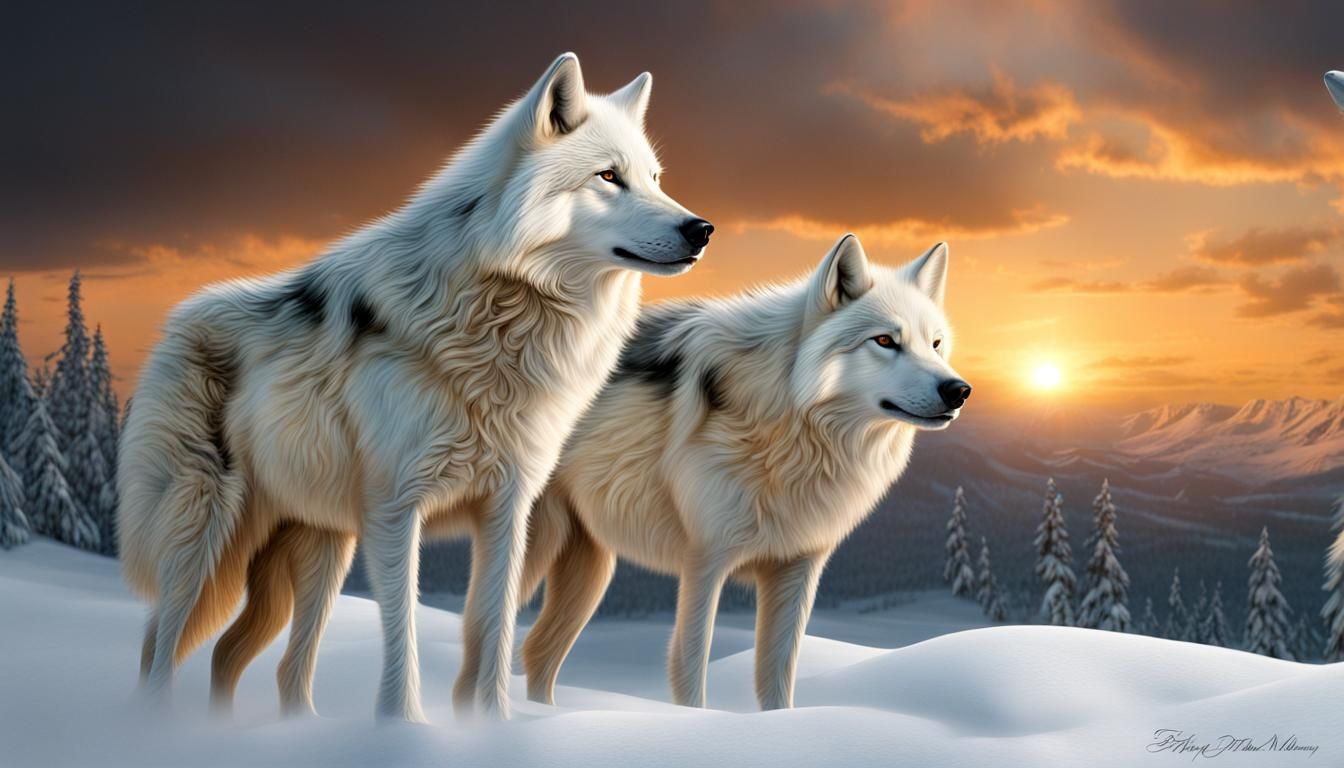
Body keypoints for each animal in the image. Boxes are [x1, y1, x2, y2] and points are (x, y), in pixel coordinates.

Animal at [116, 52, 712, 723]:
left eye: (656, 179)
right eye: (609, 176)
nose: (702, 228)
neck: (504, 323)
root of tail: (173, 322)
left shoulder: (508, 507)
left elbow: (493, 632)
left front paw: (494, 726)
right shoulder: (398, 510)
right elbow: (404, 636)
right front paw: (404, 729)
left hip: (322, 551)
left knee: (260, 662)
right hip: (203, 537)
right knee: (161, 645)